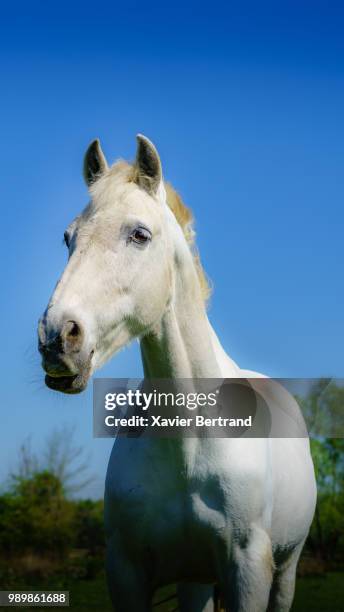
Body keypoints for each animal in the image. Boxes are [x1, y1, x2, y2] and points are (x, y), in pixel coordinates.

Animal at [39, 136, 316, 608]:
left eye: (139, 234)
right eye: (67, 237)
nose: (58, 337)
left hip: (285, 572)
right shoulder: (126, 571)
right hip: (196, 580)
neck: (190, 444)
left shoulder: (250, 571)